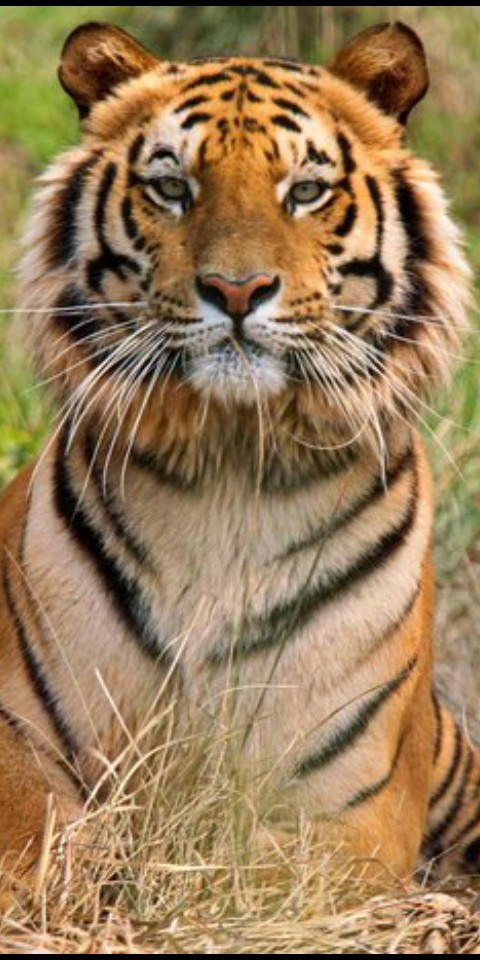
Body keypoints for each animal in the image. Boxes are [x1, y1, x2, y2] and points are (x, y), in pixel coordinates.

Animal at [0, 18, 479, 898]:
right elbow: (45, 836)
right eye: (171, 188)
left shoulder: (351, 807)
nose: (235, 289)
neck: (230, 466)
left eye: (306, 191)